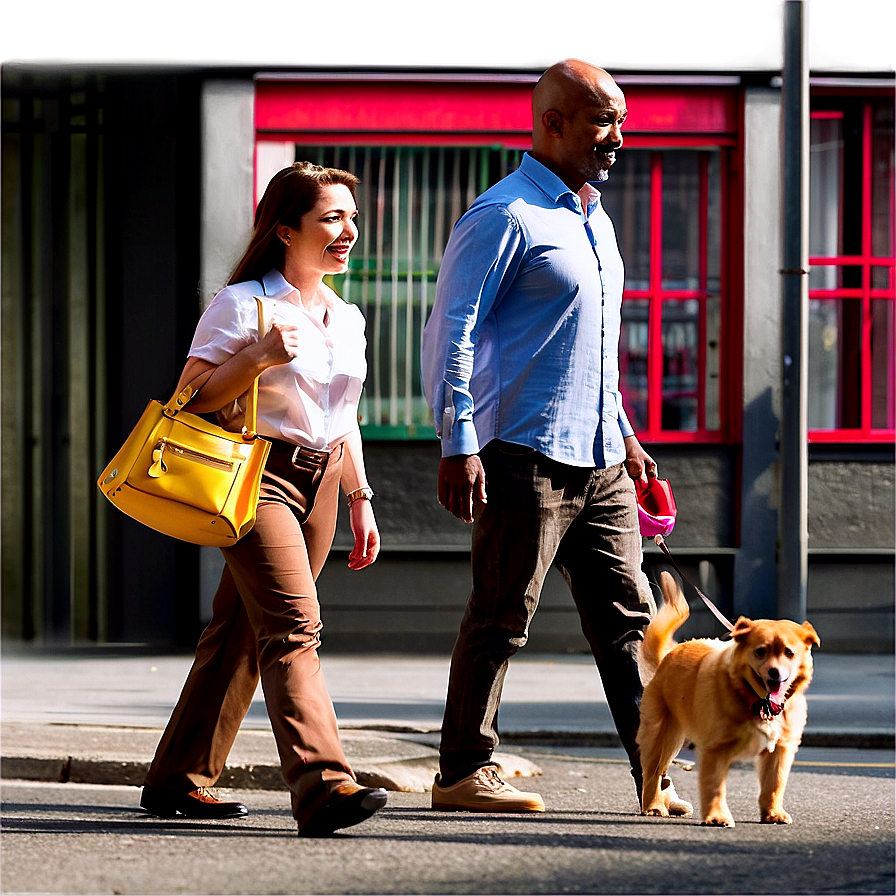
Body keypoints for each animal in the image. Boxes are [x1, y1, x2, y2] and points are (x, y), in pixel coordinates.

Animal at [636, 576, 820, 824]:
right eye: (760, 651)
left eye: (789, 652)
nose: (775, 672)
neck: (756, 700)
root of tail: (670, 655)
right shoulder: (715, 748)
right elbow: (714, 787)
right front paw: (716, 817)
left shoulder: (780, 750)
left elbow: (774, 785)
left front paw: (772, 813)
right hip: (663, 736)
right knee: (653, 772)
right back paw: (653, 805)